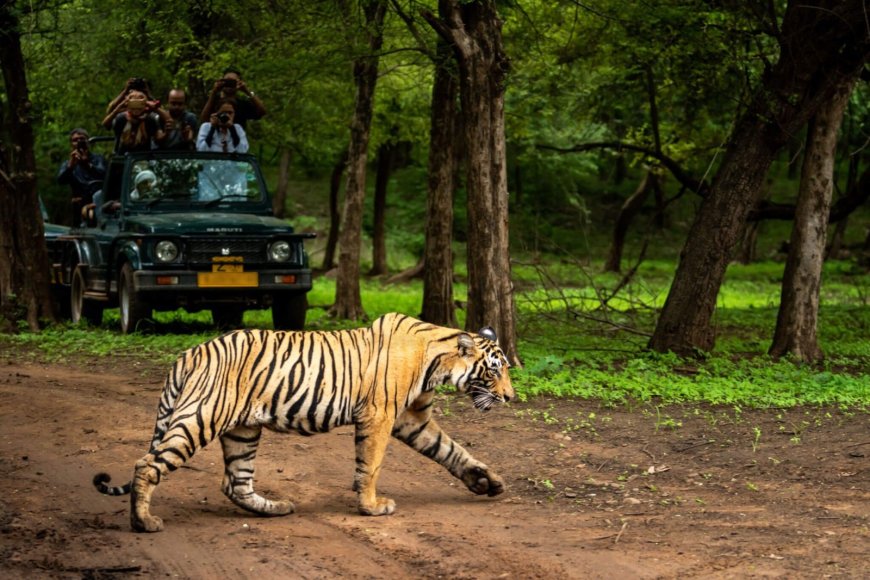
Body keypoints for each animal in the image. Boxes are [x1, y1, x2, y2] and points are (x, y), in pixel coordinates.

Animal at [93, 312, 516, 532]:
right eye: (495, 370)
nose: (511, 397)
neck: (437, 363)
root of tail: (189, 353)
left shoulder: (411, 419)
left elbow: (452, 450)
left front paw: (487, 482)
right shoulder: (380, 416)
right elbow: (371, 465)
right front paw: (371, 507)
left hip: (243, 430)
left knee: (235, 483)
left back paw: (275, 508)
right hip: (201, 417)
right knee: (147, 464)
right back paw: (144, 522)